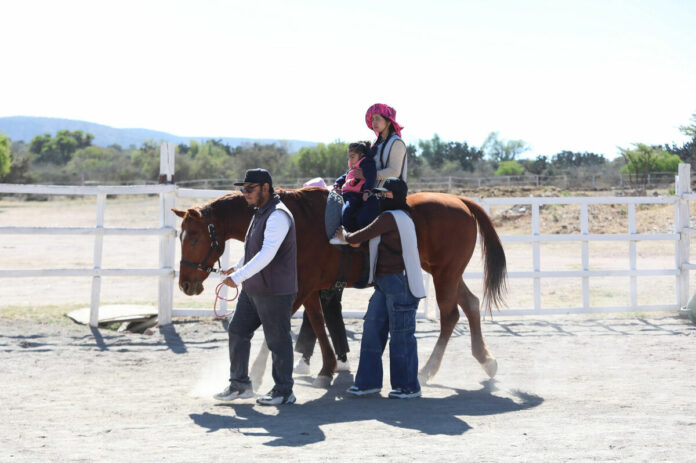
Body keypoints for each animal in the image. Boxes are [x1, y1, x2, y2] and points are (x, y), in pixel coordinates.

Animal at [171, 187, 502, 386]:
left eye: (195, 237)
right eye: (180, 236)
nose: (185, 284)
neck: (295, 221)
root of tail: (460, 201)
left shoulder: (300, 288)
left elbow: (278, 327)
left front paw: (257, 372)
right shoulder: (311, 289)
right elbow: (318, 324)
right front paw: (327, 368)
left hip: (445, 274)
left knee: (450, 316)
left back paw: (427, 369)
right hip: (448, 274)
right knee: (471, 305)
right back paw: (486, 360)